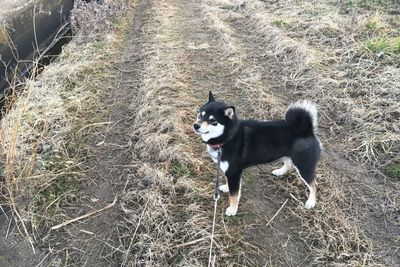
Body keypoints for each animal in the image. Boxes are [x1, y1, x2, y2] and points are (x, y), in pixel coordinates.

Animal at [193, 92, 322, 218]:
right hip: (289, 156)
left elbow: (234, 195)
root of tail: (307, 131)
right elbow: (231, 185)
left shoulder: (234, 172)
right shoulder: (230, 171)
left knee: (313, 185)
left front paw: (233, 209)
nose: (196, 125)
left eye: (213, 121)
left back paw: (311, 202)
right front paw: (226, 187)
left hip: (304, 166)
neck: (228, 137)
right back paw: (280, 171)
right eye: (199, 115)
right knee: (288, 164)